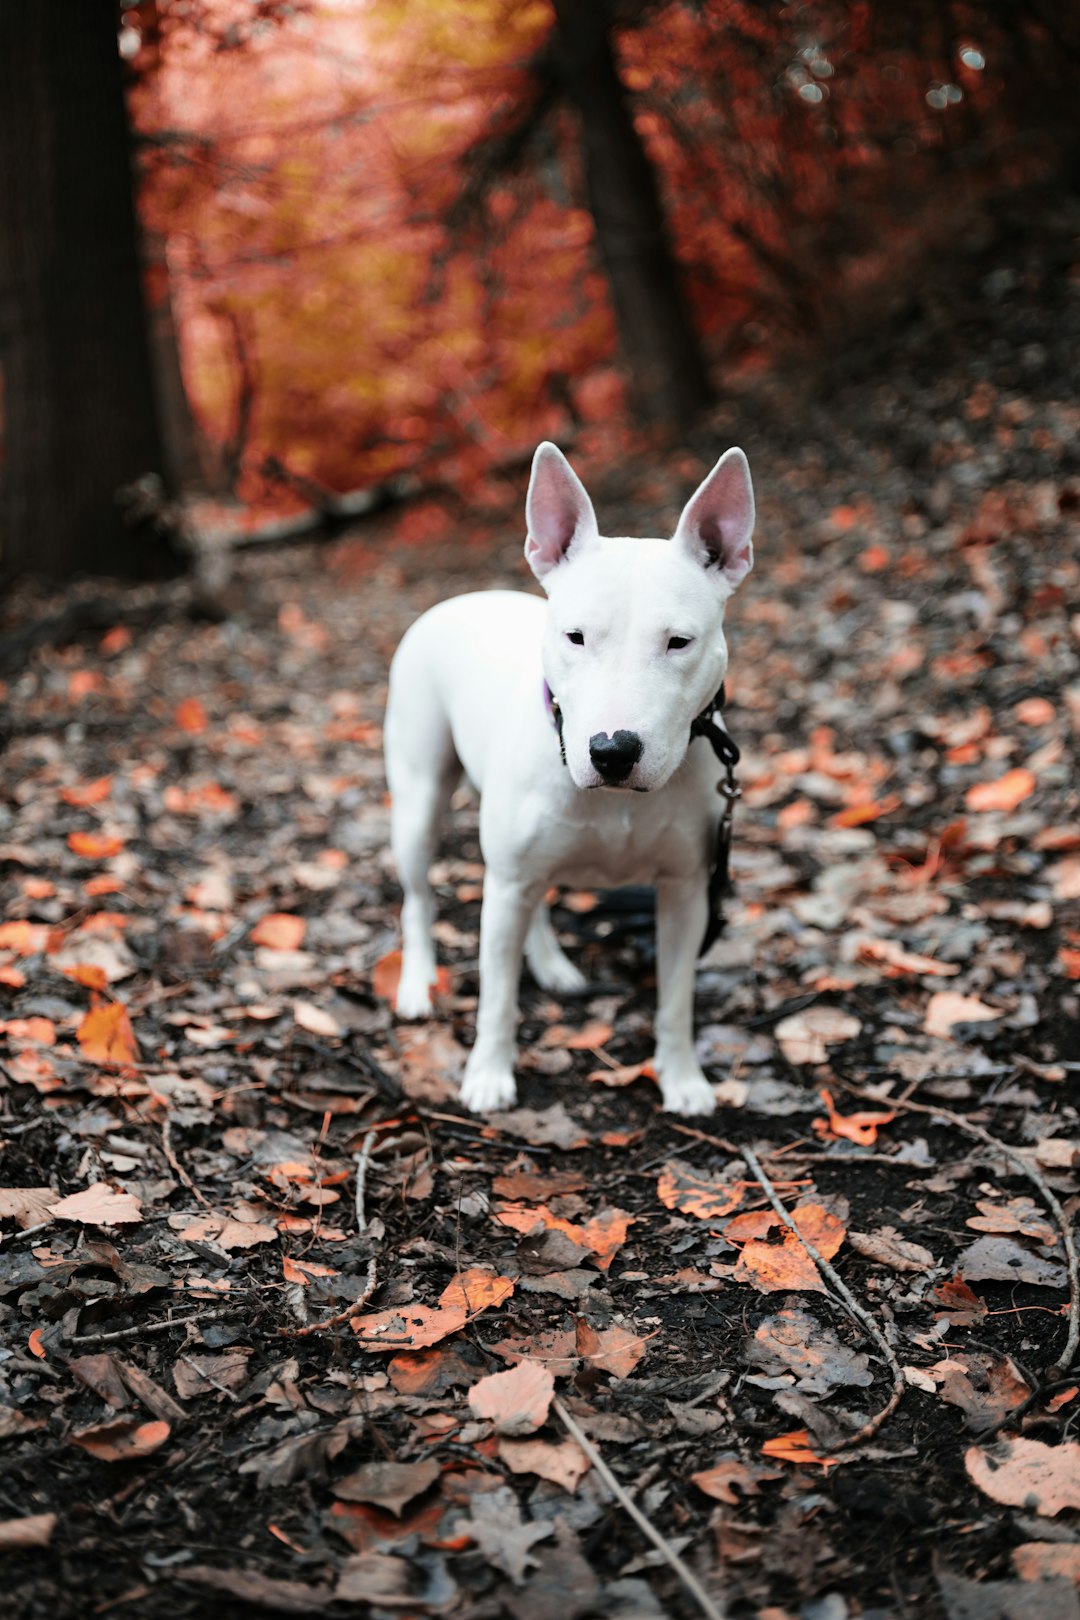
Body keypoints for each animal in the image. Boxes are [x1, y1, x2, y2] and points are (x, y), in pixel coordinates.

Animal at [386, 443, 751, 1114]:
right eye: (575, 636)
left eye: (679, 642)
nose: (612, 751)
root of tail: (460, 598)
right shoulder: (505, 884)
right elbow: (497, 997)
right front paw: (488, 1074)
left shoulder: (688, 890)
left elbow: (676, 997)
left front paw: (682, 1077)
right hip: (419, 802)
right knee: (420, 898)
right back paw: (419, 981)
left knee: (534, 902)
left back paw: (551, 963)